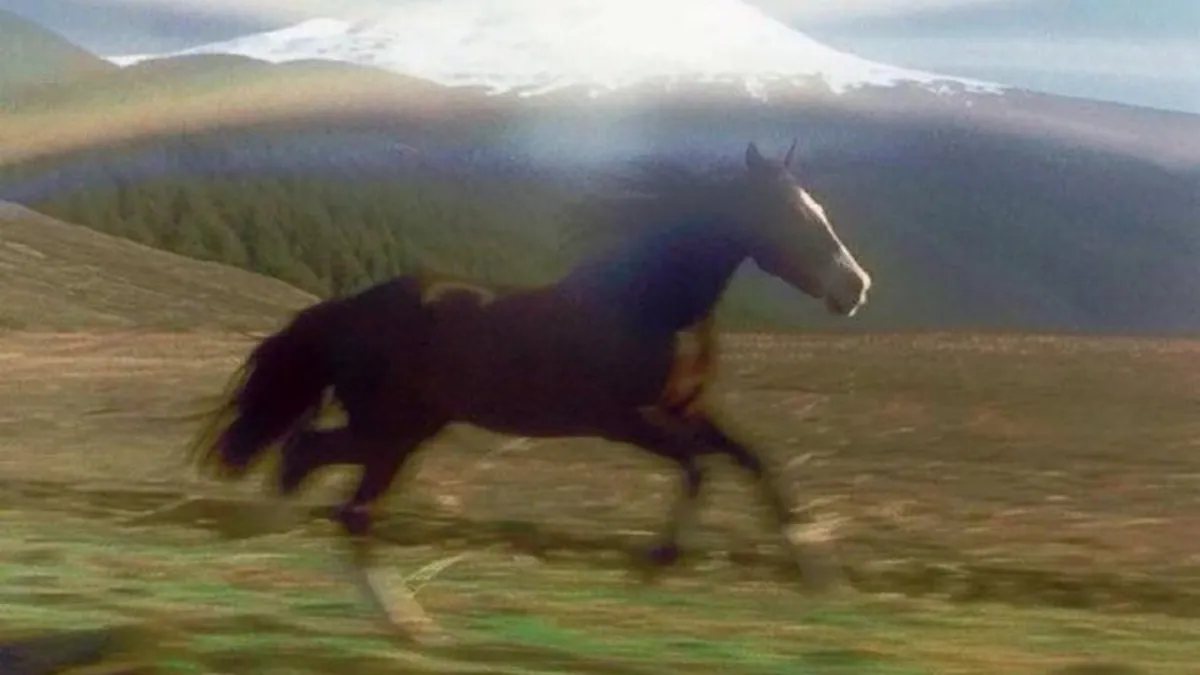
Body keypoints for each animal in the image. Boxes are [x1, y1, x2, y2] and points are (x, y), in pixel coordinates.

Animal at [188, 141, 873, 644]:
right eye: (789, 215)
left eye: (817, 209)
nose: (856, 288)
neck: (650, 306)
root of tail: (349, 310)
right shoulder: (626, 418)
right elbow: (699, 469)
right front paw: (650, 566)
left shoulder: (689, 409)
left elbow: (758, 462)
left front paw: (821, 578)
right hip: (391, 431)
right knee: (343, 499)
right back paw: (409, 623)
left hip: (405, 430)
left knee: (309, 458)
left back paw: (273, 543)